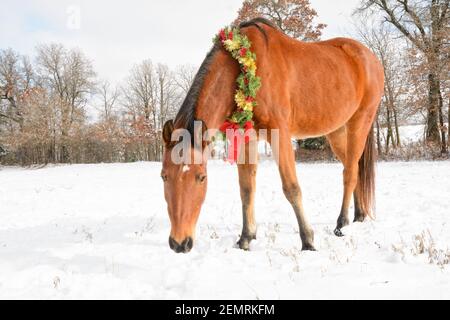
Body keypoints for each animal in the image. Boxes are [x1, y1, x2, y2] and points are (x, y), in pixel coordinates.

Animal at [162, 18, 384, 252]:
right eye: (163, 176)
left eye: (201, 177)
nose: (179, 243)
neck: (243, 66)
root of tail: (369, 57)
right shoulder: (246, 138)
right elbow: (246, 189)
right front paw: (246, 237)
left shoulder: (280, 134)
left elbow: (291, 187)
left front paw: (308, 240)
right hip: (337, 131)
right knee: (355, 168)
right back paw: (358, 216)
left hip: (359, 122)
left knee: (350, 173)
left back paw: (341, 223)